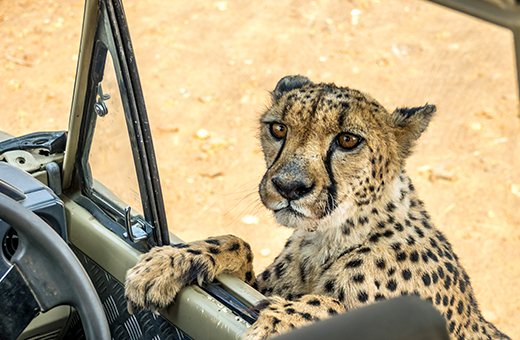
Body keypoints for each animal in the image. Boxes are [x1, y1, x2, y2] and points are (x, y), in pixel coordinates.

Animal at [127, 75, 512, 340]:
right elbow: (241, 244)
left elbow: (333, 305)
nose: (289, 186)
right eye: (278, 128)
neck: (330, 234)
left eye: (348, 140)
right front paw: (172, 260)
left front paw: (280, 321)